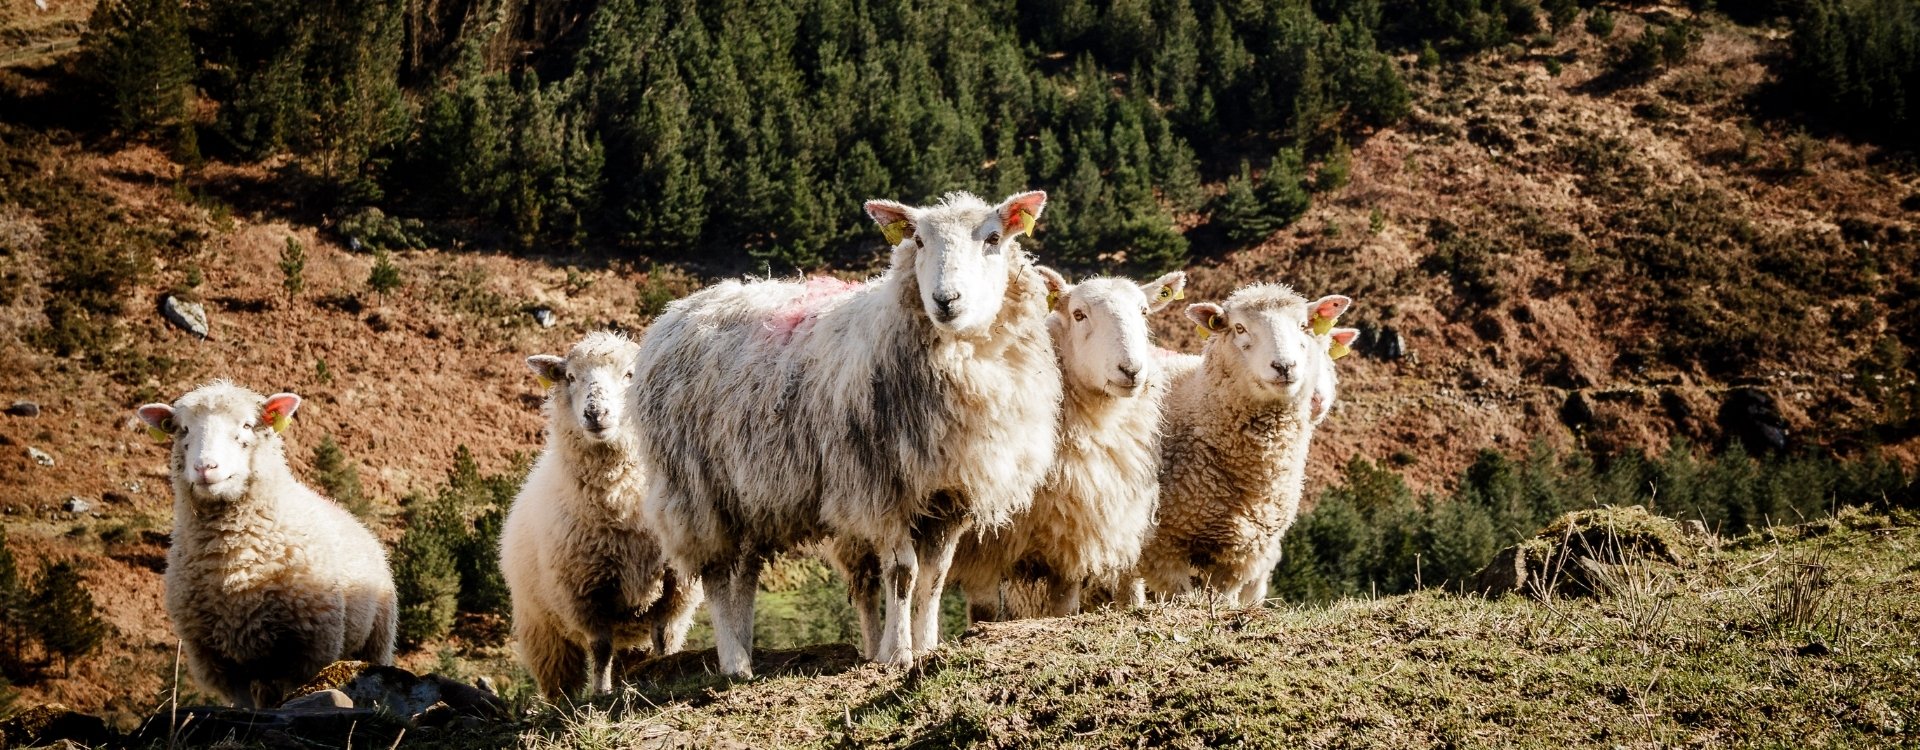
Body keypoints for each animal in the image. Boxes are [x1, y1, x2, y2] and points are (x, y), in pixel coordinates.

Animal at [136, 385, 397, 709]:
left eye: (247, 425)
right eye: (183, 429)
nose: (205, 467)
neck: (234, 562)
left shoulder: (307, 651)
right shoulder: (220, 659)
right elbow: (244, 705)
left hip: (376, 640)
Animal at [499, 331, 702, 702]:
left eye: (630, 374)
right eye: (570, 377)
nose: (595, 413)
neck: (621, 509)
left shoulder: (675, 587)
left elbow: (665, 640)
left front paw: (668, 670)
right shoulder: (584, 593)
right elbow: (600, 648)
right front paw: (600, 692)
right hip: (542, 629)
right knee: (560, 678)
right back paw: (563, 705)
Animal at [633, 190, 1067, 679]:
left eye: (993, 238)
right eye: (918, 240)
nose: (946, 300)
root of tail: (677, 312)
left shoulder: (948, 495)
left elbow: (934, 579)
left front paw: (928, 648)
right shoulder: (879, 488)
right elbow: (902, 573)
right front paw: (896, 654)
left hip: (750, 496)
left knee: (743, 575)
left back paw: (745, 654)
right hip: (697, 490)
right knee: (716, 574)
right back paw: (734, 664)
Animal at [944, 266, 1182, 621]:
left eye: (1143, 311)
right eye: (1079, 314)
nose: (1131, 370)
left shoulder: (1072, 533)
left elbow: (1066, 603)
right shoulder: (986, 544)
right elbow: (985, 608)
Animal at [1128, 285, 1359, 606]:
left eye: (1303, 326)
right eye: (1239, 328)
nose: (1284, 366)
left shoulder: (1244, 551)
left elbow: (1227, 596)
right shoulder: (1163, 545)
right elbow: (1181, 596)